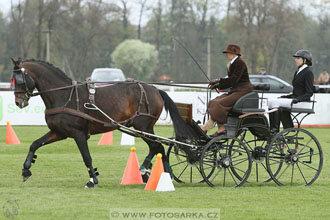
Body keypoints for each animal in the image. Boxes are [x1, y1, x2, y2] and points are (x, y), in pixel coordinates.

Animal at [10, 58, 193, 187]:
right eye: (12, 79)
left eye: (19, 80)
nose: (19, 102)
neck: (65, 96)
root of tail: (155, 89)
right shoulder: (59, 133)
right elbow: (35, 144)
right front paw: (26, 169)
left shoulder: (78, 133)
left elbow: (86, 157)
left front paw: (92, 180)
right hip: (142, 128)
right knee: (156, 148)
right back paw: (150, 172)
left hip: (143, 127)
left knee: (157, 146)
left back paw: (159, 173)